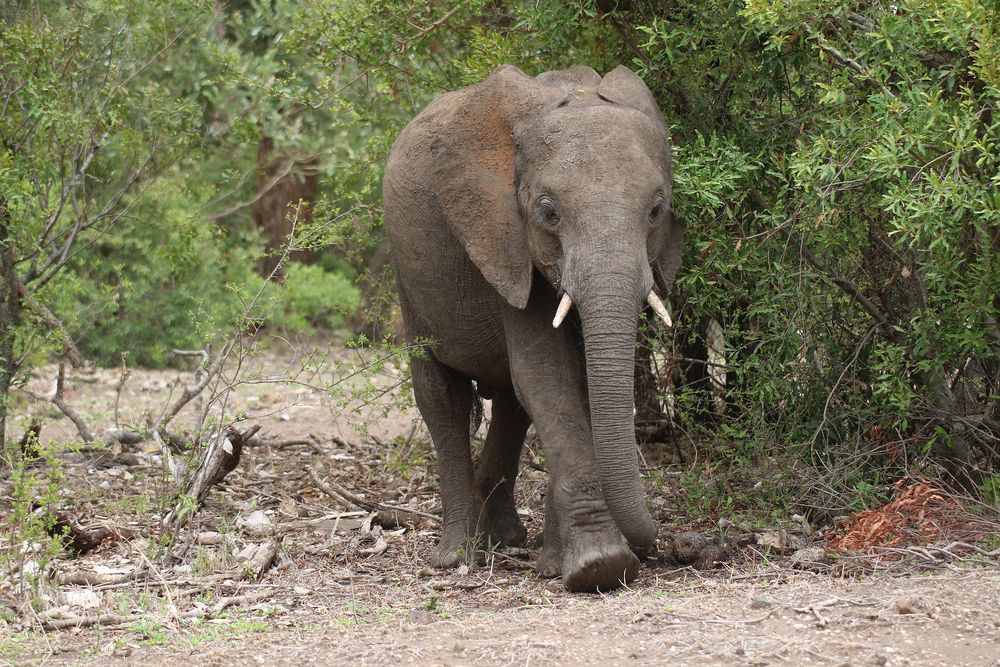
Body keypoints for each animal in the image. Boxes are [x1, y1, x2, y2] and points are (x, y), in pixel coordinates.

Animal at [380, 65, 680, 592]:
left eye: (656, 210)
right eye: (547, 212)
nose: (657, 545)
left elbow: (572, 383)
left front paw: (558, 564)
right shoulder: (504, 241)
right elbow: (546, 377)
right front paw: (600, 567)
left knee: (510, 405)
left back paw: (507, 540)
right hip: (409, 282)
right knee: (441, 398)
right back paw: (458, 555)